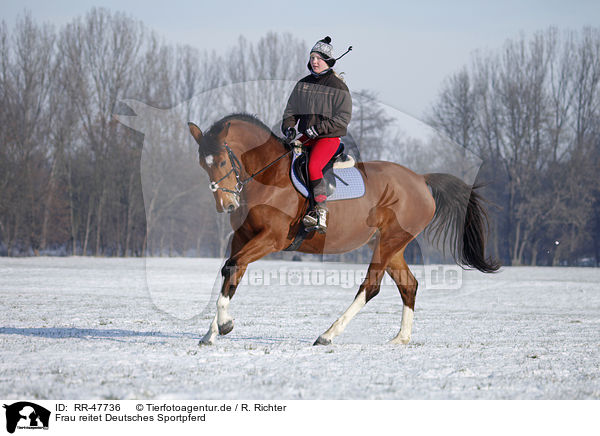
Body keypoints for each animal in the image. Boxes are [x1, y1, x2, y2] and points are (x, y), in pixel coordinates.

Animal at [189, 114, 502, 346]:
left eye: (221, 161)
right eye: (203, 165)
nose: (227, 205)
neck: (268, 177)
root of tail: (421, 180)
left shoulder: (272, 239)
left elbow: (232, 266)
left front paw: (224, 325)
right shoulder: (242, 237)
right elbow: (232, 271)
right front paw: (212, 332)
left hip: (389, 242)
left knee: (371, 286)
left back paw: (328, 334)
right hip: (391, 246)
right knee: (408, 285)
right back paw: (400, 338)